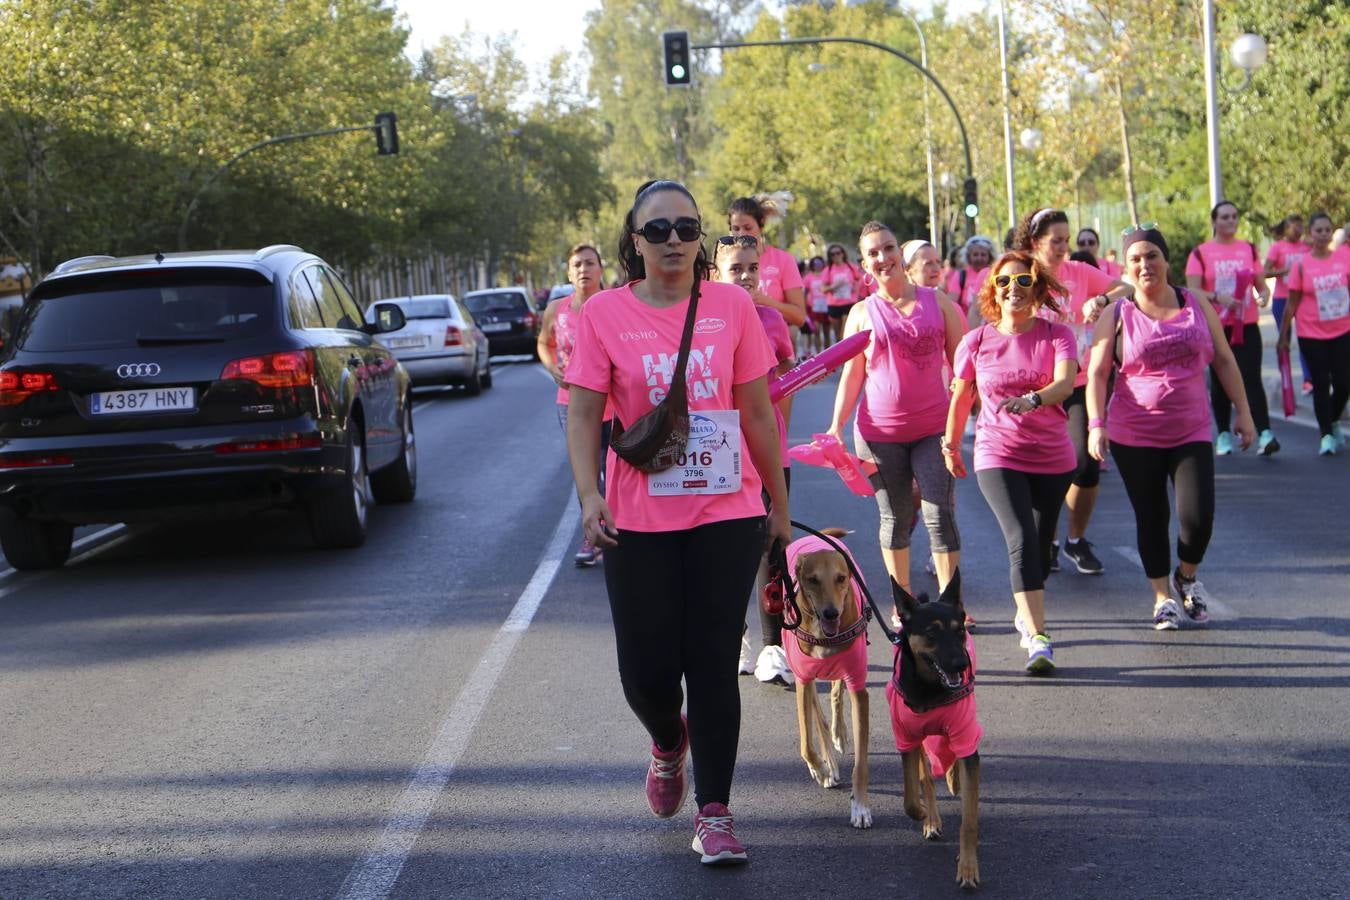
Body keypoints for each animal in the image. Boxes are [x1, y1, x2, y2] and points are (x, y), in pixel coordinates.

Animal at [783, 528, 874, 831]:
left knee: (835, 693)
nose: (831, 613)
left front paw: (860, 807)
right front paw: (822, 769)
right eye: (813, 580)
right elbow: (806, 743)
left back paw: (840, 734)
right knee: (819, 719)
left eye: (841, 578)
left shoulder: (858, 686)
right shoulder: (802, 681)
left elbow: (861, 762)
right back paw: (829, 763)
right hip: (807, 679)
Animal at [885, 574, 982, 890]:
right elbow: (911, 797)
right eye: (931, 633)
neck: (931, 689)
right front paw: (925, 816)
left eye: (959, 630)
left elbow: (969, 820)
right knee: (926, 773)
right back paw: (932, 818)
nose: (962, 664)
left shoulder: (966, 734)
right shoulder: (906, 737)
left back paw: (953, 779)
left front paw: (968, 868)